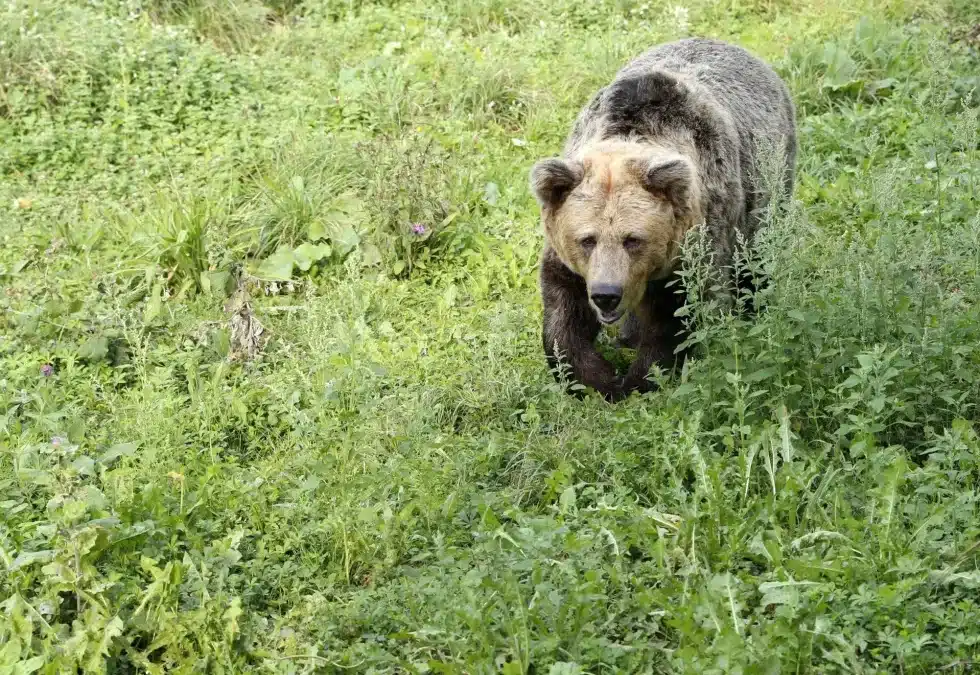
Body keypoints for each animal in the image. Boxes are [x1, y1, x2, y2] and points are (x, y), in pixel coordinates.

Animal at [528, 37, 796, 402]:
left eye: (633, 239)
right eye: (587, 239)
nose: (606, 294)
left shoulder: (697, 237)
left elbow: (678, 315)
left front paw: (640, 378)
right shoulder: (567, 259)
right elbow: (563, 314)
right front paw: (597, 378)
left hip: (768, 180)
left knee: (756, 255)